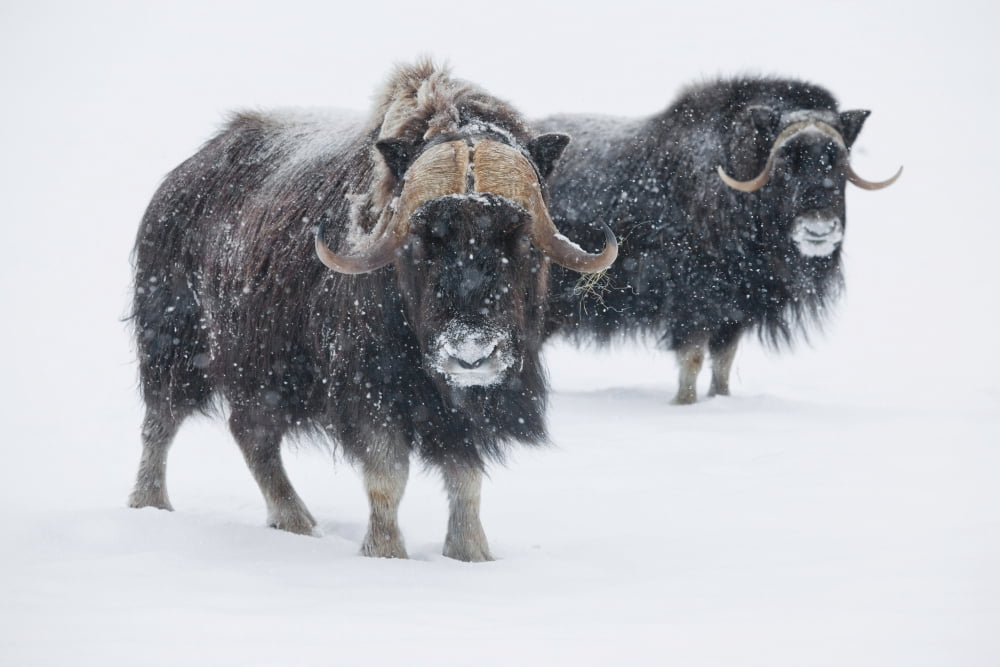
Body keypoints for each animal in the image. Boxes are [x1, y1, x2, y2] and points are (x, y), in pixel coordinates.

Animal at [127, 61, 616, 561]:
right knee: (164, 420)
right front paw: (385, 554)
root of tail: (186, 171)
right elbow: (387, 476)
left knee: (250, 432)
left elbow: (466, 479)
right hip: (176, 341)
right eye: (423, 238)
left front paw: (471, 555)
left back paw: (296, 522)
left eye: (517, 238)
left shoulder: (467, 409)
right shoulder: (370, 393)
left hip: (255, 374)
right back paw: (152, 504)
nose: (471, 355)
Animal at [536, 76, 900, 403]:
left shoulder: (734, 312)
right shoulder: (693, 304)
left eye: (836, 161)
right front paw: (684, 404)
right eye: (785, 161)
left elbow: (724, 362)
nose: (818, 229)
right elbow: (693, 360)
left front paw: (720, 400)